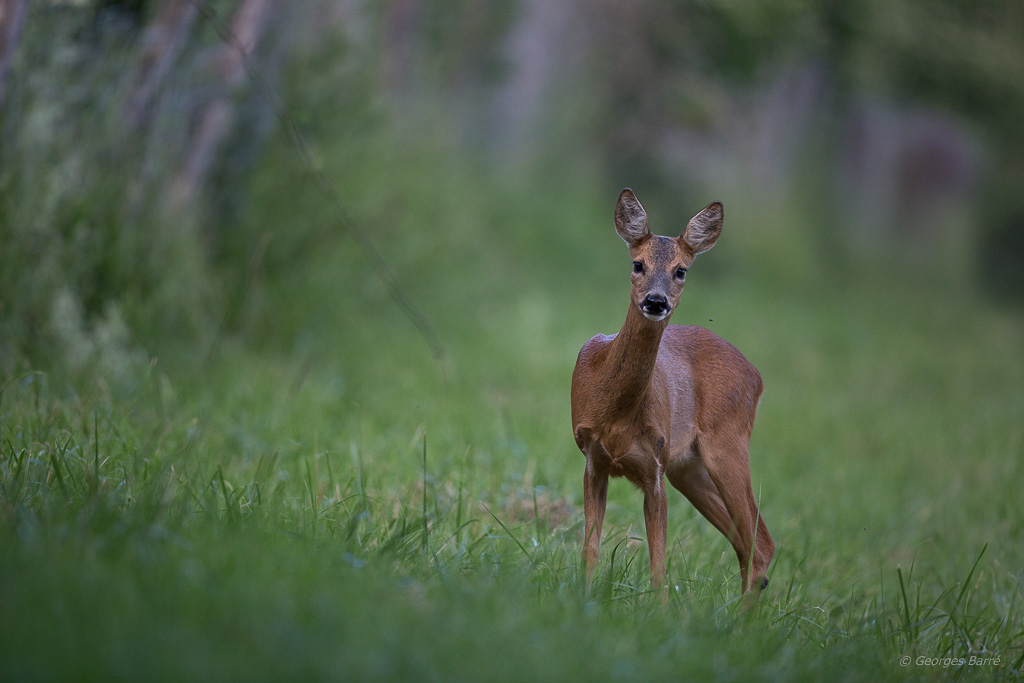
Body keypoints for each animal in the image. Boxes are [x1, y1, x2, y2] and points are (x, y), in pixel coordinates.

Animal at [569, 187, 774, 598]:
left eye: (681, 270)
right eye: (637, 264)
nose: (656, 301)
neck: (615, 414)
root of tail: (755, 375)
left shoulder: (655, 466)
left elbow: (659, 564)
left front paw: (657, 610)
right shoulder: (593, 460)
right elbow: (590, 547)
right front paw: (583, 597)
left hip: (727, 444)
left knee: (758, 545)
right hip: (688, 468)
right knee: (753, 543)